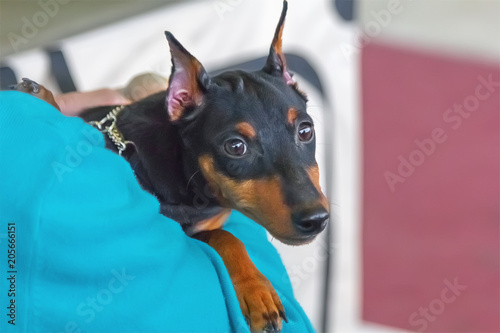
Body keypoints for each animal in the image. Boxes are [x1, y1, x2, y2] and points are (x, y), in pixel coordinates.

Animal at [12, 1, 328, 330]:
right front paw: (258, 292)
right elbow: (227, 237)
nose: (316, 219)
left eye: (306, 131)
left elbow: (220, 232)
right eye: (235, 147)